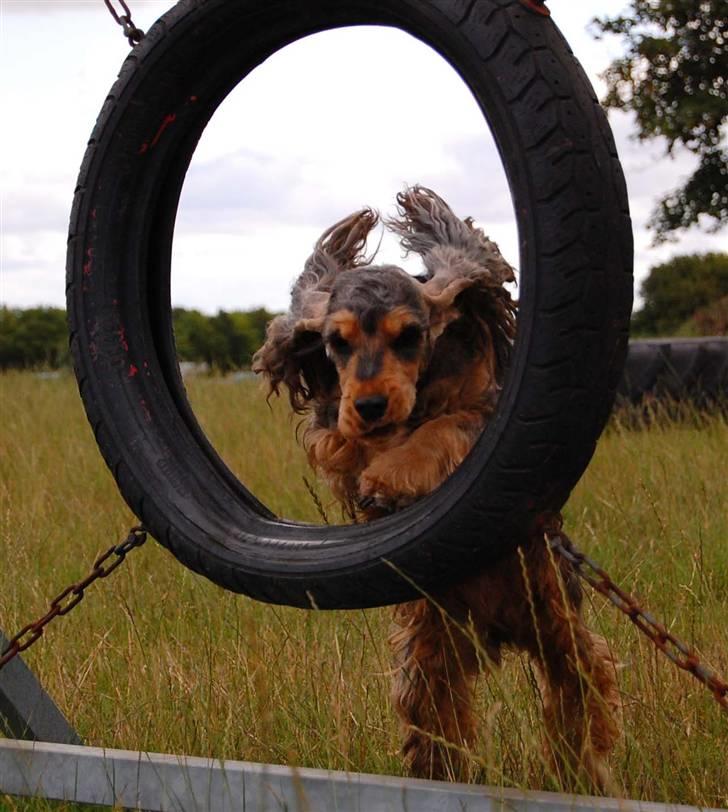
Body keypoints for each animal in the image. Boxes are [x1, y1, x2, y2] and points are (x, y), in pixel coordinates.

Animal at [252, 187, 620, 788]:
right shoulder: (335, 430)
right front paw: (376, 464)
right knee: (439, 726)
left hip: (558, 625)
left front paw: (392, 474)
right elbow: (349, 442)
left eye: (409, 335)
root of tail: (498, 631)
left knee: (579, 693)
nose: (372, 404)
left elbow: (440, 428)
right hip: (427, 661)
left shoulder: (482, 410)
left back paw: (581, 768)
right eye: (335, 342)